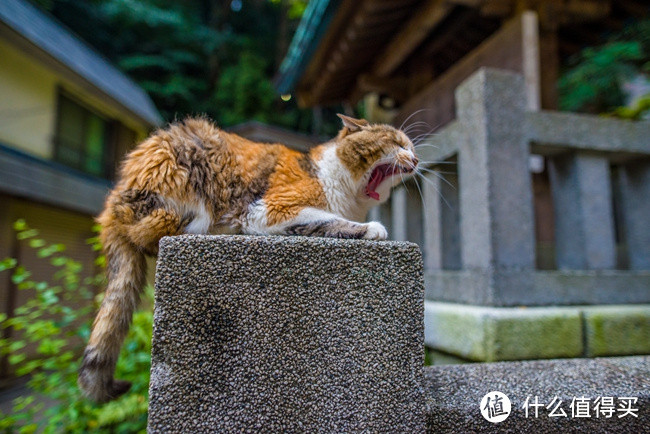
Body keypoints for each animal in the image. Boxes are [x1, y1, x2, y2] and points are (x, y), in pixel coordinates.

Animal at [78, 113, 418, 402]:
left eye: (411, 147)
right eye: (396, 142)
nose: (415, 159)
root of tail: (112, 201)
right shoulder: (269, 209)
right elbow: (328, 220)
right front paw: (372, 228)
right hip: (184, 182)